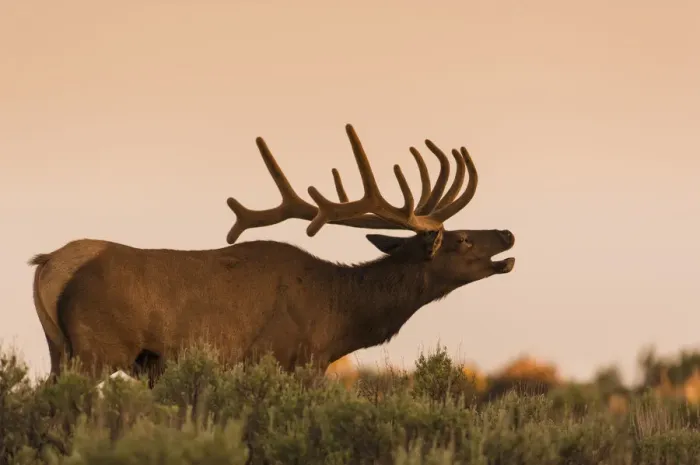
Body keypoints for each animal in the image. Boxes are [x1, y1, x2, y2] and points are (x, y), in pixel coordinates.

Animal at [28, 124, 515, 386]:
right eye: (461, 240)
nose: (507, 234)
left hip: (59, 349)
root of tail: (48, 265)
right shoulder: (290, 359)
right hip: (96, 349)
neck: (338, 317)